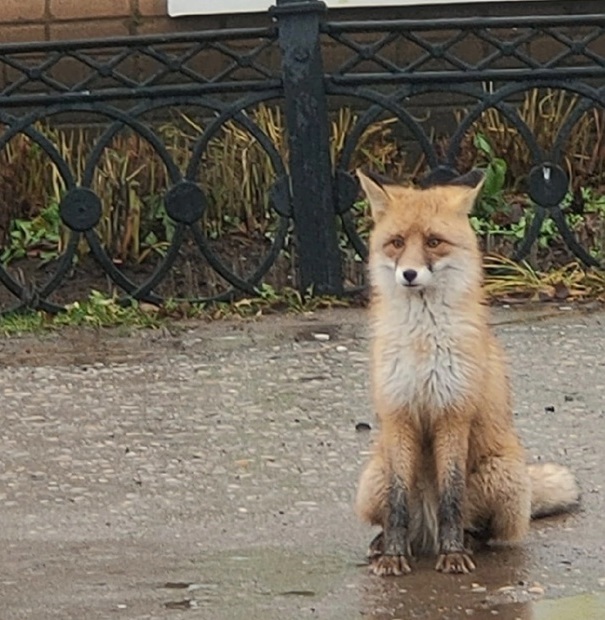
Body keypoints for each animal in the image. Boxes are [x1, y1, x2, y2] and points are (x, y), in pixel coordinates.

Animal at [354, 168, 580, 576]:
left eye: (433, 242)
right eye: (396, 242)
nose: (409, 274)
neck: (423, 344)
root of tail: (424, 536)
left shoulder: (453, 414)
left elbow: (451, 497)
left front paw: (453, 553)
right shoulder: (398, 416)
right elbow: (397, 505)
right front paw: (393, 555)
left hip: (503, 477)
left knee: (487, 529)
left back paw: (469, 541)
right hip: (372, 479)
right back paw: (384, 545)